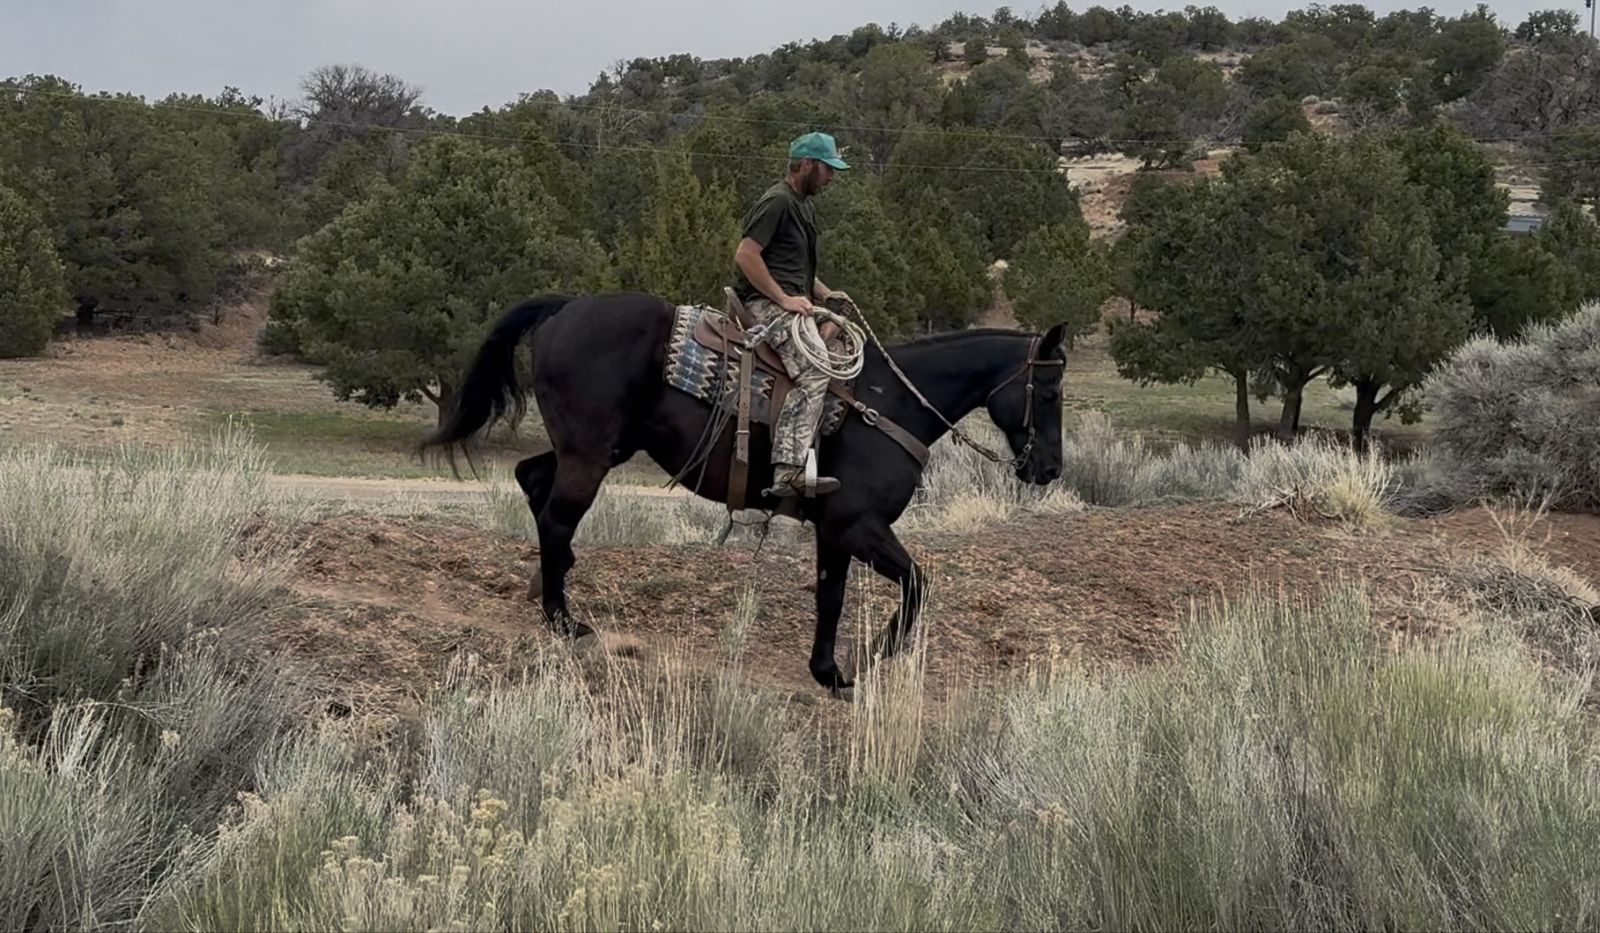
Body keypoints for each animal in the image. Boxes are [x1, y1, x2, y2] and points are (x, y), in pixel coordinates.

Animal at [419, 290, 1070, 694]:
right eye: (1051, 390)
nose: (1049, 470)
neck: (890, 404)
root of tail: (566, 308)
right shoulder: (859, 524)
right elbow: (916, 583)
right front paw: (876, 656)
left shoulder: (835, 529)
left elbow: (831, 597)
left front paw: (829, 672)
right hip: (589, 455)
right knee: (557, 515)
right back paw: (562, 619)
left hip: (600, 449)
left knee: (533, 480)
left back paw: (547, 586)